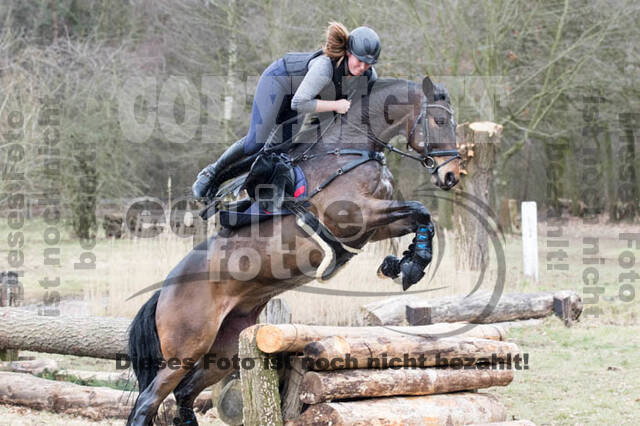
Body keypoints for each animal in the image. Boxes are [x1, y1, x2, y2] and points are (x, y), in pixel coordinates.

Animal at [126, 75, 460, 422]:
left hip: (224, 347)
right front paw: (411, 266)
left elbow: (420, 218)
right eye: (440, 121)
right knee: (150, 400)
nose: (452, 175)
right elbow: (420, 209)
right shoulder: (357, 217)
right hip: (187, 346)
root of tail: (164, 292)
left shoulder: (372, 228)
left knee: (185, 393)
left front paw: (404, 263)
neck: (349, 150)